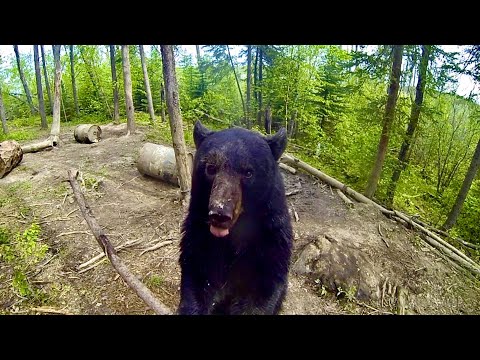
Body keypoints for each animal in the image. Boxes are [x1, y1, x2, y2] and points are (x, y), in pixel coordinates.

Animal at [178, 121, 292, 316]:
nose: (219, 214)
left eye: (248, 172)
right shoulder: (200, 236)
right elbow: (197, 277)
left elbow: (264, 290)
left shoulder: (271, 240)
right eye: (210, 168)